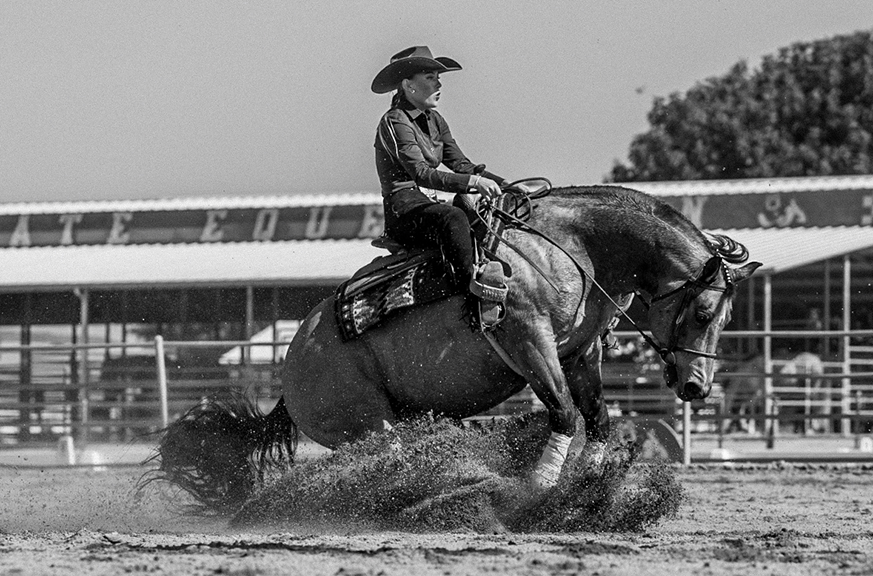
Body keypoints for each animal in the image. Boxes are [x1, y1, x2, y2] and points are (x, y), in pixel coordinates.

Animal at [150, 185, 760, 511]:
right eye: (704, 312)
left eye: (727, 317)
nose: (698, 386)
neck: (573, 247)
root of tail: (288, 379)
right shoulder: (528, 340)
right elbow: (564, 414)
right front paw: (539, 489)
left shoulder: (580, 355)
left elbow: (597, 420)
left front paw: (588, 487)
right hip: (370, 423)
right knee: (389, 463)